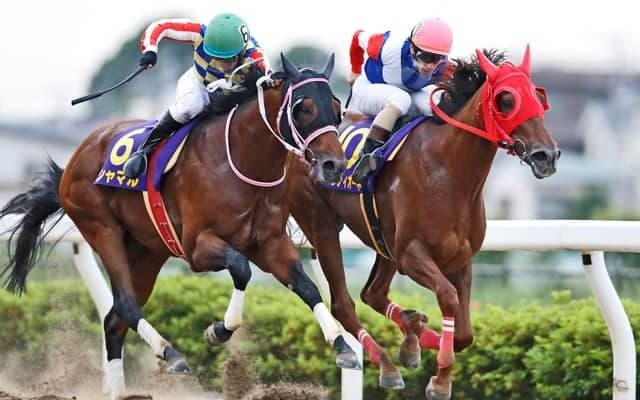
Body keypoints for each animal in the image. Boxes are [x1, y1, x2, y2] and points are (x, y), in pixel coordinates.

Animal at [0, 53, 358, 400]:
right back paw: (170, 353)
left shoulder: (269, 244)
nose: (334, 165)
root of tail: (74, 159)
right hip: (100, 228)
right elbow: (242, 269)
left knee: (114, 320)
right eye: (304, 108)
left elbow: (306, 287)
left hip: (147, 252)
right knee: (126, 304)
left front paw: (342, 346)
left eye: (337, 108)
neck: (241, 159)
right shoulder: (198, 247)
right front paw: (218, 331)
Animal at [286, 46, 560, 399]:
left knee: (373, 293)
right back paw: (388, 366)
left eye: (538, 97)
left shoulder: (461, 259)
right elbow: (447, 296)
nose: (546, 155)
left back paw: (411, 338)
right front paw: (440, 380)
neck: (447, 172)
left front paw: (423, 344)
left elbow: (465, 334)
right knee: (345, 305)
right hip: (323, 227)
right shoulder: (412, 255)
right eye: (506, 100)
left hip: (383, 240)